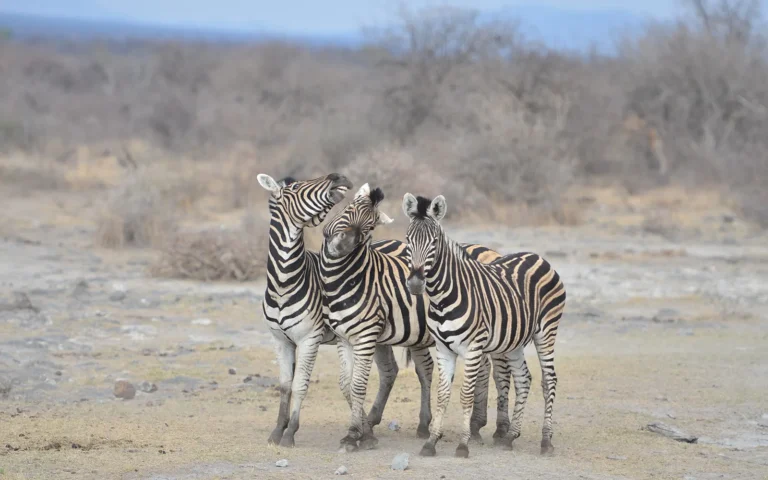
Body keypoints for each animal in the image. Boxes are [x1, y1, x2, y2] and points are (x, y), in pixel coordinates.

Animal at [257, 172, 407, 448]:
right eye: (296, 186)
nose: (339, 177)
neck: (283, 282)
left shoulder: (309, 338)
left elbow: (300, 385)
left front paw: (290, 432)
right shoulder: (280, 340)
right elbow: (285, 386)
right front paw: (277, 430)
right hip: (381, 335)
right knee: (390, 371)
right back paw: (371, 424)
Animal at [319, 183, 503, 452]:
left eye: (370, 226)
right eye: (347, 209)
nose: (342, 244)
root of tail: (492, 252)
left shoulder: (363, 334)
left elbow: (356, 383)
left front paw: (356, 435)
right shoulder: (346, 336)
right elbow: (345, 382)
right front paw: (361, 431)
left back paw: (485, 427)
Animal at [401, 193, 567, 458]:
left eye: (434, 242)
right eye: (408, 240)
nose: (415, 284)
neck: (442, 296)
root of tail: (538, 256)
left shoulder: (472, 348)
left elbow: (466, 394)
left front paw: (463, 444)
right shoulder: (443, 348)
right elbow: (442, 395)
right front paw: (431, 442)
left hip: (546, 331)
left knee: (549, 379)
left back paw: (546, 441)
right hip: (514, 340)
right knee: (524, 379)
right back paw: (510, 437)